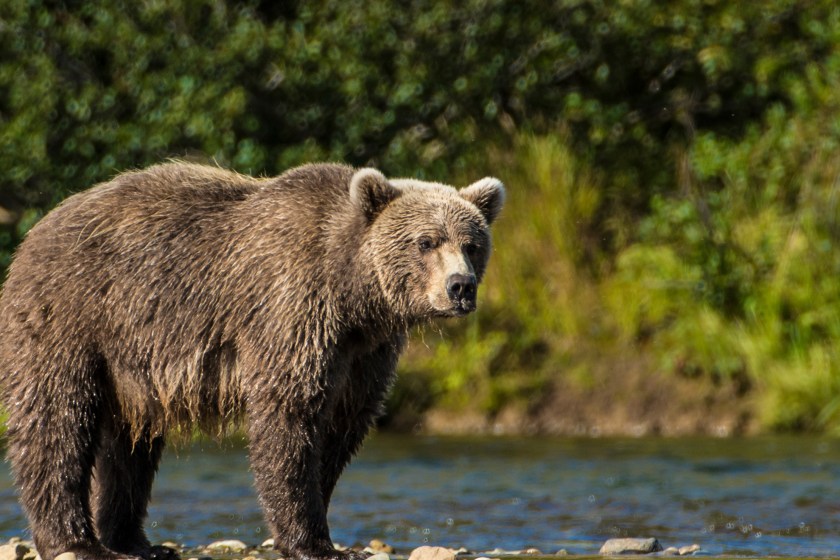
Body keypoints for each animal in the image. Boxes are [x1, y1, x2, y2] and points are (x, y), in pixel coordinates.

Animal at [0, 162, 504, 560]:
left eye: (472, 243)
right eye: (426, 241)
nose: (460, 287)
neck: (354, 296)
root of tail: (32, 234)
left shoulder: (365, 352)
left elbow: (342, 425)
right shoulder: (291, 310)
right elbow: (289, 418)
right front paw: (315, 544)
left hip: (129, 363)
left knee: (130, 446)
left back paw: (136, 542)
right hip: (74, 317)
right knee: (58, 422)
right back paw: (77, 542)